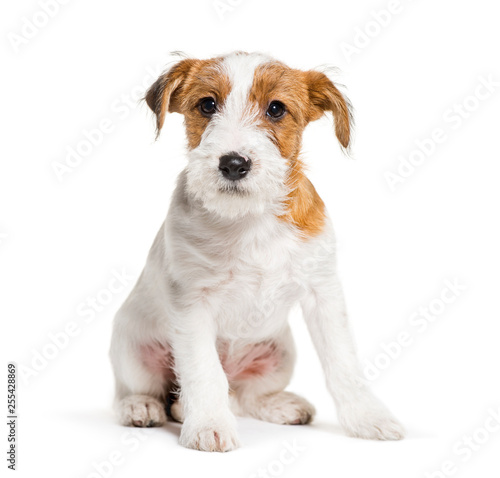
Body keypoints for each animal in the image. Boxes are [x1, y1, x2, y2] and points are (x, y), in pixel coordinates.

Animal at [108, 52, 402, 452]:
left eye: (276, 109)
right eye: (207, 104)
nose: (233, 164)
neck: (250, 219)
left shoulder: (323, 291)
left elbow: (343, 363)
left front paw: (369, 418)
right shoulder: (192, 302)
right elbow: (204, 370)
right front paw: (209, 425)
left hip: (280, 353)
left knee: (246, 396)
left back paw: (280, 405)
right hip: (131, 348)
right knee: (140, 390)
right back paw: (142, 407)